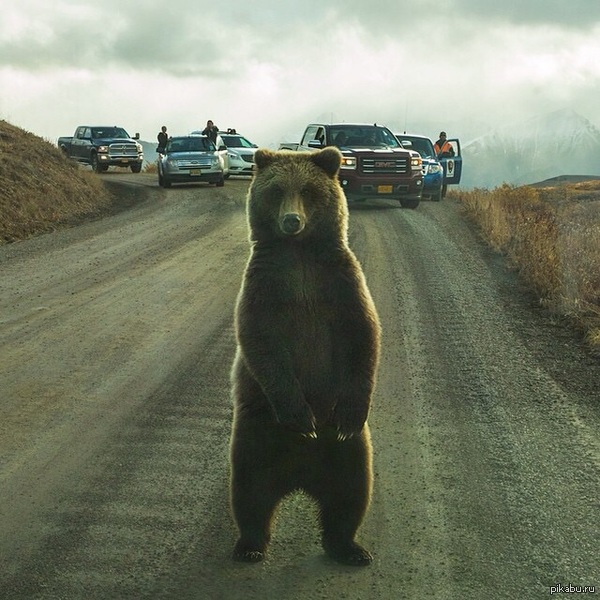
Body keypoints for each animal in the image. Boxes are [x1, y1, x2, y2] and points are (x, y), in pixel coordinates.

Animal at [230, 146, 380, 568]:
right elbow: (261, 342)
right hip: (257, 430)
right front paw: (301, 417)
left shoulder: (341, 283)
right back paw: (250, 545)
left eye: (309, 191)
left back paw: (351, 548)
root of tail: (299, 477)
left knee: (351, 490)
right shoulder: (264, 286)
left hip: (348, 450)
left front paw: (351, 412)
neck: (299, 256)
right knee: (250, 490)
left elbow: (364, 335)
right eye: (277, 190)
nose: (292, 220)